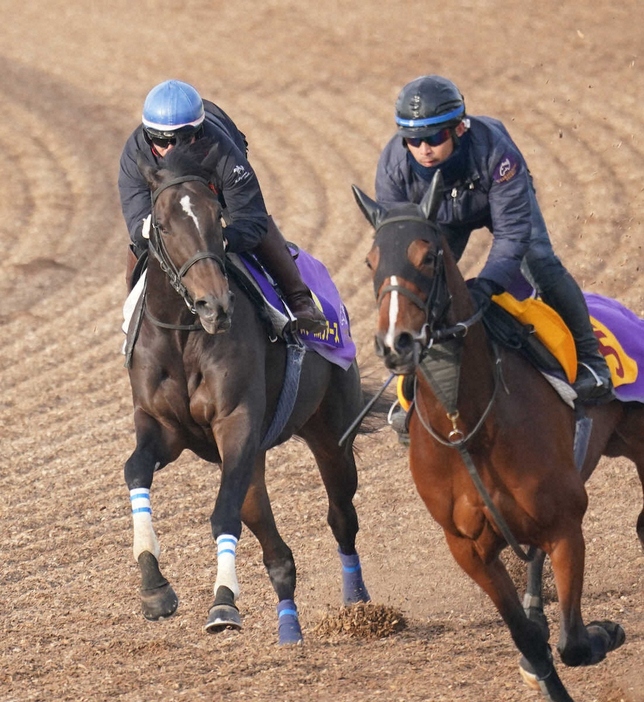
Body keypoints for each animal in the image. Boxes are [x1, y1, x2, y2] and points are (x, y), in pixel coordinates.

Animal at [124, 144, 372, 648]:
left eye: (216, 217)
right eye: (162, 225)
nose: (215, 305)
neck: (183, 335)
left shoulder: (235, 423)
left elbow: (222, 516)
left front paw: (223, 603)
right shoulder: (163, 428)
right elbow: (136, 470)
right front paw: (155, 587)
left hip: (330, 435)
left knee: (341, 517)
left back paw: (358, 603)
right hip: (253, 461)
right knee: (277, 551)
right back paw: (289, 627)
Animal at [352, 172, 644, 702]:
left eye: (429, 256)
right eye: (370, 261)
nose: (395, 342)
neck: (466, 427)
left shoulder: (565, 525)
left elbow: (574, 643)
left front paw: (605, 632)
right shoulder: (468, 546)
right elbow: (529, 638)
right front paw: (538, 652)